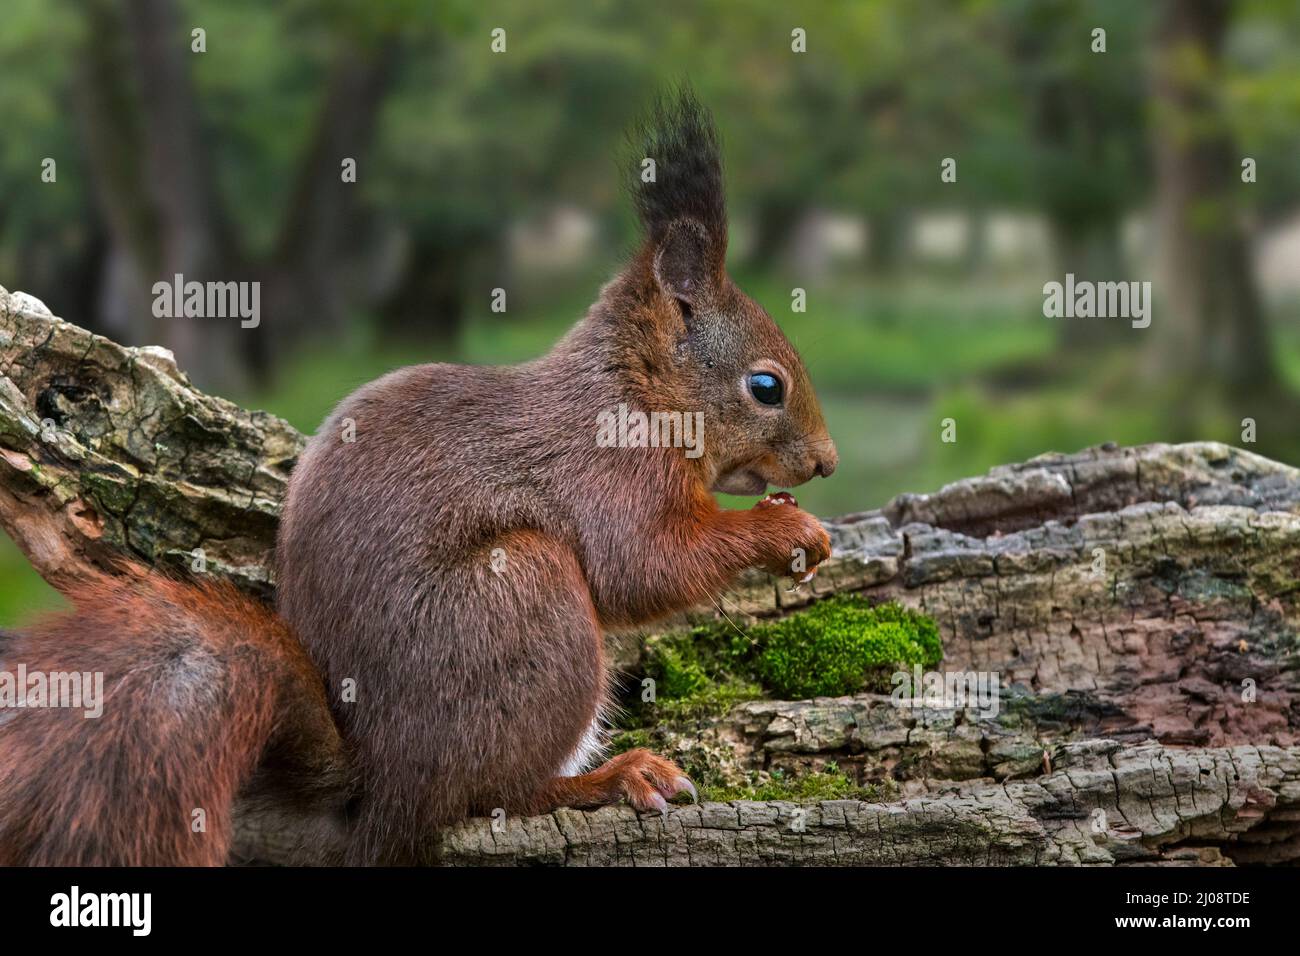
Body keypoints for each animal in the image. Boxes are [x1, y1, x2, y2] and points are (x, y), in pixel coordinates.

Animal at [0, 89, 832, 868]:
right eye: (766, 386)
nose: (826, 463)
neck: (637, 394)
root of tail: (381, 783)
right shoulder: (608, 473)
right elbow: (646, 568)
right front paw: (789, 529)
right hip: (523, 595)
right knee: (491, 795)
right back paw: (607, 778)